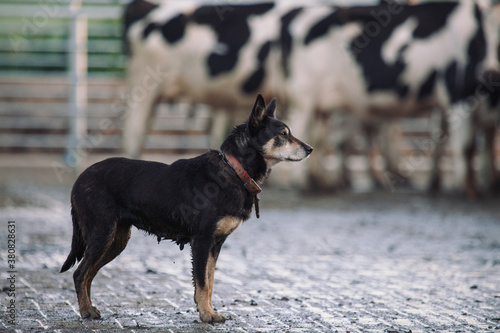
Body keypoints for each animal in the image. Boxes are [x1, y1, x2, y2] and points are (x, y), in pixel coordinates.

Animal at [60, 94, 310, 322]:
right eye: (283, 134)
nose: (310, 149)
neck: (234, 169)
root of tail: (79, 180)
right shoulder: (202, 240)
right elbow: (202, 282)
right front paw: (207, 315)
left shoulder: (215, 244)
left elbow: (209, 281)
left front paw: (209, 311)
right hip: (102, 234)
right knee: (80, 273)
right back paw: (86, 312)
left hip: (116, 240)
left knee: (88, 274)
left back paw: (90, 308)